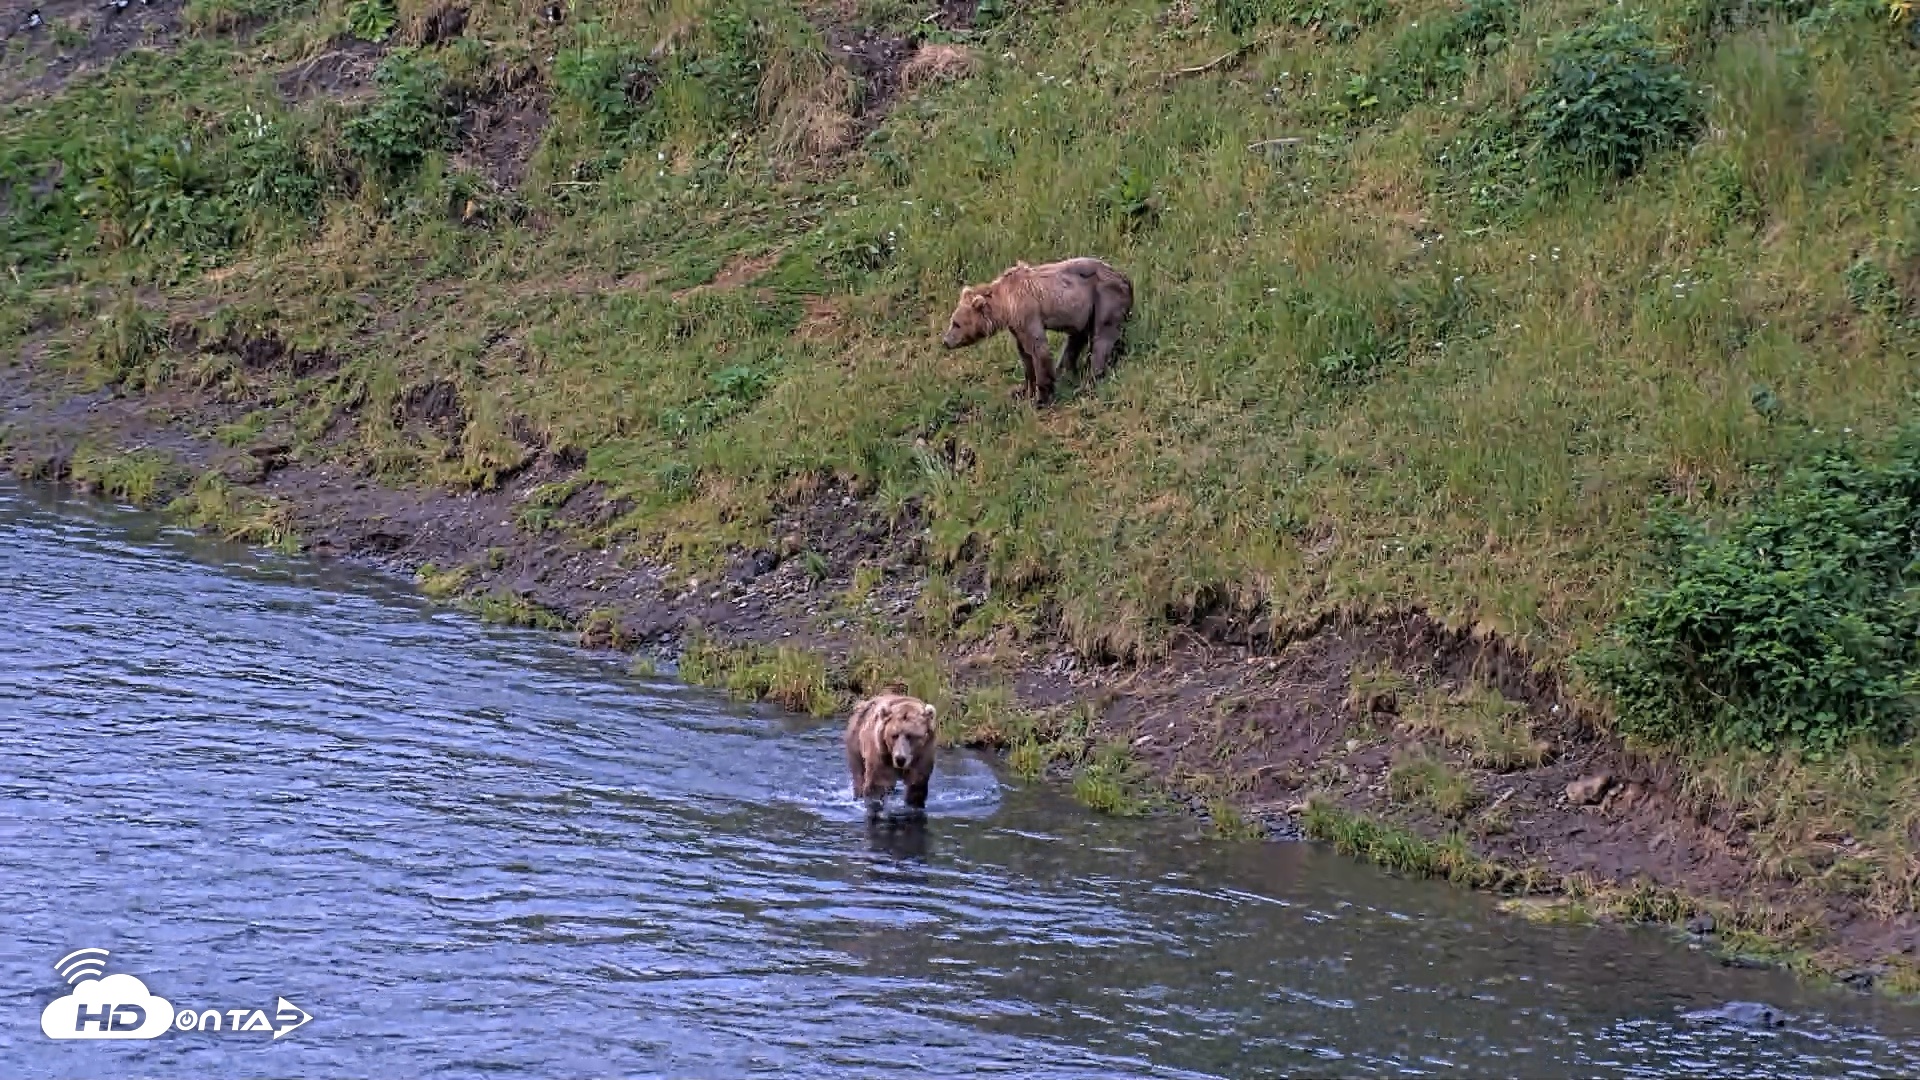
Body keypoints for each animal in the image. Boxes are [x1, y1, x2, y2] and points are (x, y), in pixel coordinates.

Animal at [940, 257, 1134, 406]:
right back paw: (1067, 372)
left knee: (1102, 338)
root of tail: (1126, 278)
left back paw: (1087, 383)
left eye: (956, 324)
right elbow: (1025, 355)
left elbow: (1037, 348)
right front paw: (1023, 390)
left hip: (1105, 297)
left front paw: (1041, 398)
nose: (946, 341)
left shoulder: (1027, 312)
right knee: (1076, 339)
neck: (1005, 305)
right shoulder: (1017, 325)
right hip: (1086, 310)